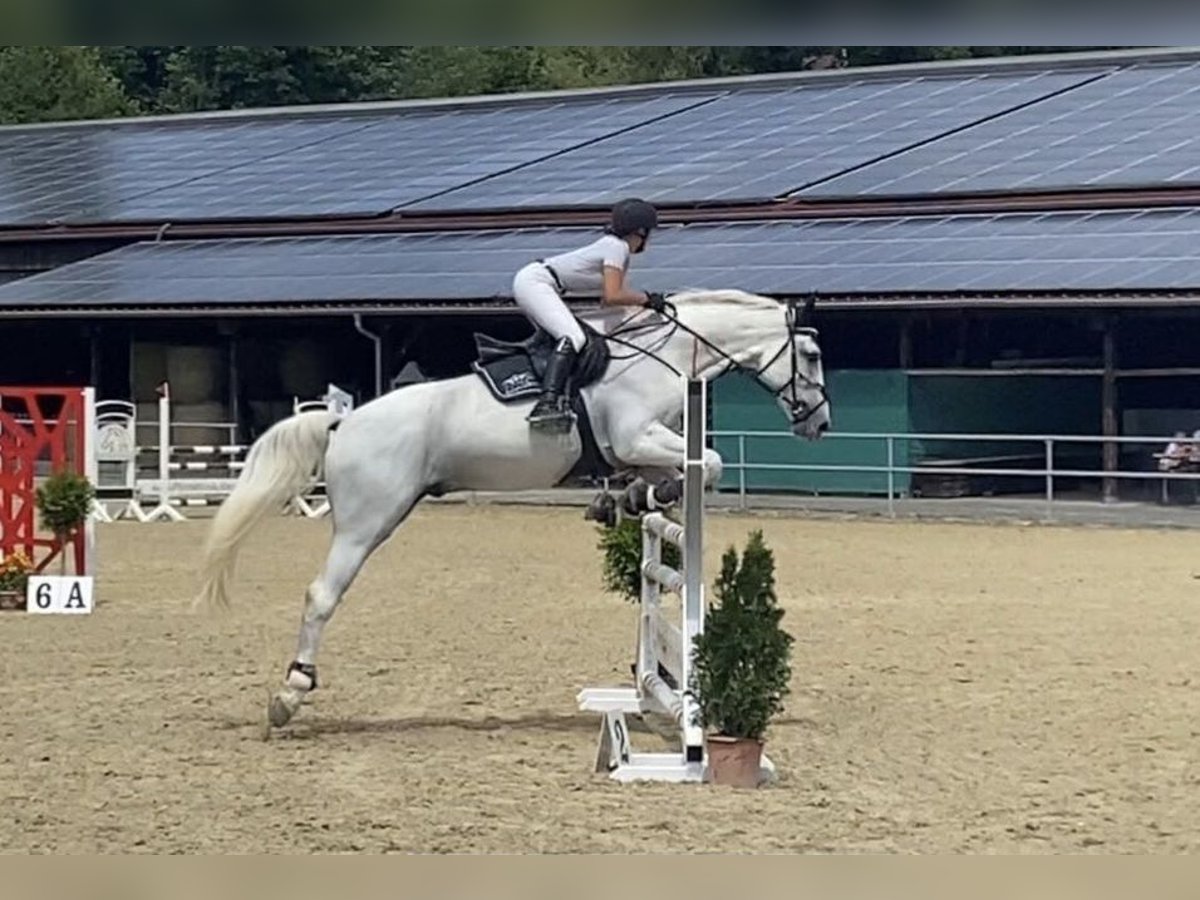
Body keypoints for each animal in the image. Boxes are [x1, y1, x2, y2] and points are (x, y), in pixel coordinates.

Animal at [194, 292, 835, 729]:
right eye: (810, 353)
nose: (820, 424)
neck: (666, 354)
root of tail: (342, 423)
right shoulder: (636, 436)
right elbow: (713, 460)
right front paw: (646, 495)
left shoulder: (640, 447)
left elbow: (672, 475)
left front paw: (633, 499)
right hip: (366, 523)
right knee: (321, 595)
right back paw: (289, 693)